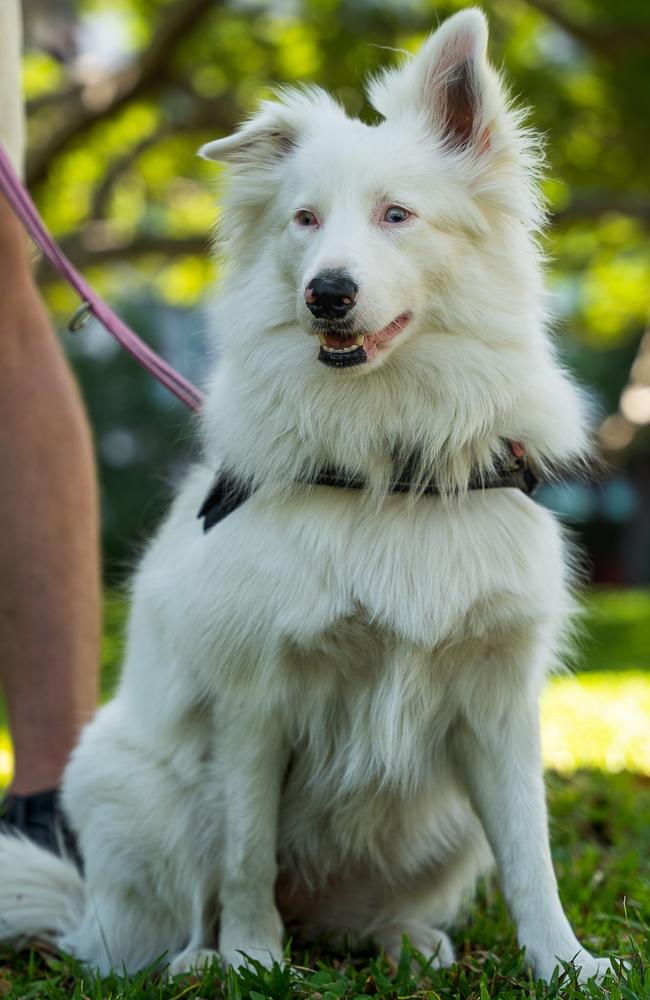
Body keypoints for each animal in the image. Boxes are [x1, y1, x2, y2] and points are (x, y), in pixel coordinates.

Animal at [0, 7, 616, 984]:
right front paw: (255, 962)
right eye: (305, 219)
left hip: (443, 824)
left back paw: (402, 942)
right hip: (146, 789)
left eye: (397, 215)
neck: (387, 467)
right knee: (177, 915)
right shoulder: (256, 700)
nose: (327, 294)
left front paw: (566, 965)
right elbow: (248, 856)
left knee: (353, 917)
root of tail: (84, 915)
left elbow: (532, 854)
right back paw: (200, 962)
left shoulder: (498, 710)